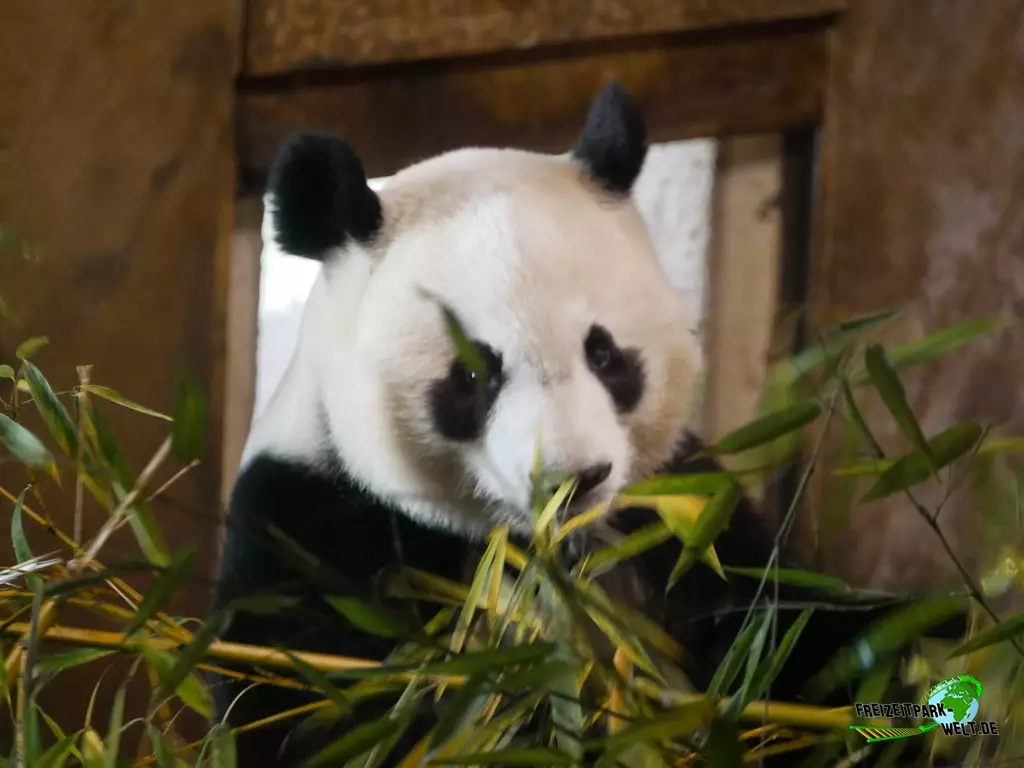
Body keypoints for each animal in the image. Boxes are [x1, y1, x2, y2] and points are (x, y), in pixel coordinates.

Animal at [211, 82, 965, 767]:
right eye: (473, 376)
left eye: (604, 354)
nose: (574, 479)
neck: (540, 551)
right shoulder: (317, 526)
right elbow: (312, 710)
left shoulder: (680, 518)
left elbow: (793, 638)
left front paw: (925, 652)